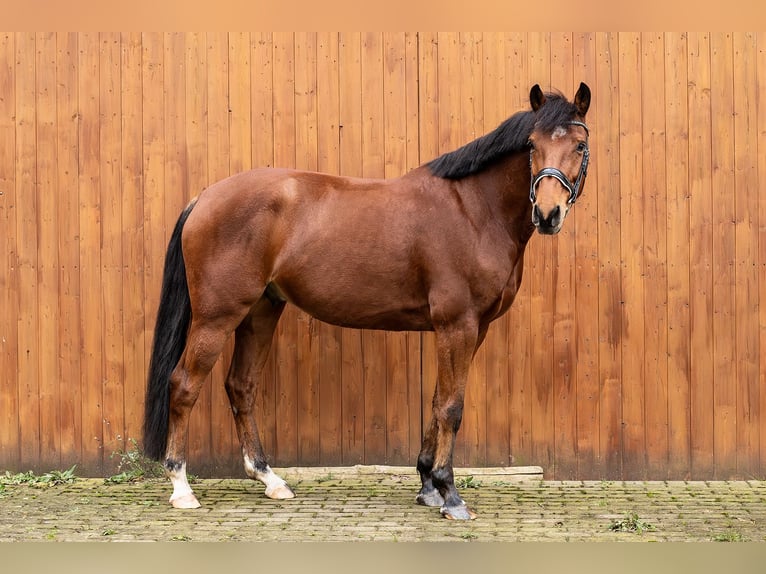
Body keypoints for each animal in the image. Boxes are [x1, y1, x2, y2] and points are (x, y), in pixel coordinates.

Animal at [142, 82, 592, 520]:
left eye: (580, 146)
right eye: (532, 144)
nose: (548, 213)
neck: (474, 210)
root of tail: (204, 198)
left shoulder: (470, 329)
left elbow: (436, 401)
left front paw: (428, 485)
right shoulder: (458, 324)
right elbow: (451, 407)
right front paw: (449, 494)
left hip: (260, 312)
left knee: (241, 387)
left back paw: (270, 479)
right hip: (216, 317)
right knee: (184, 385)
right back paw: (182, 488)